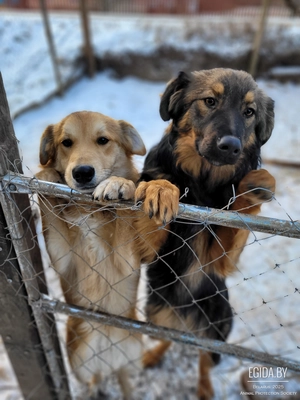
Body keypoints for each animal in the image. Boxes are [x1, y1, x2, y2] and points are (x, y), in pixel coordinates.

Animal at [35, 111, 146, 398]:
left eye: (103, 140)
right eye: (66, 142)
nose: (82, 173)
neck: (89, 210)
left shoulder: (127, 260)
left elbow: (125, 210)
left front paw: (119, 184)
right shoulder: (61, 257)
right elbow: (48, 205)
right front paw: (47, 175)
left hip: (131, 357)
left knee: (124, 379)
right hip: (79, 363)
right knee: (94, 378)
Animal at [136, 67, 276, 398]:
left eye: (249, 112)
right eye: (210, 101)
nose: (231, 146)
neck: (200, 180)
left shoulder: (217, 260)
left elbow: (238, 214)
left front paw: (256, 184)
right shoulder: (146, 250)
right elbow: (158, 189)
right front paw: (160, 188)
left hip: (217, 323)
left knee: (202, 354)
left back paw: (203, 386)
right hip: (155, 311)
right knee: (168, 336)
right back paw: (154, 355)